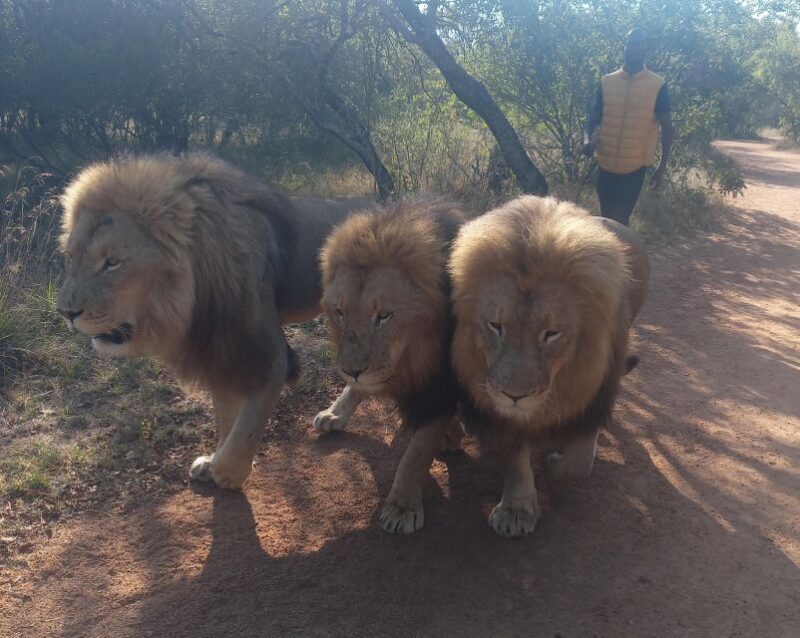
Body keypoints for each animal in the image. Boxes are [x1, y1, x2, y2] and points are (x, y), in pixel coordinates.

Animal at [56, 152, 368, 489]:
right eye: (70, 256)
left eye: (112, 263)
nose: (65, 312)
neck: (194, 292)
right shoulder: (219, 347)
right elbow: (226, 418)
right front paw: (212, 462)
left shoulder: (270, 358)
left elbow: (244, 430)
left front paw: (228, 472)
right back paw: (336, 416)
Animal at [316, 198, 466, 534]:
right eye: (340, 312)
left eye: (383, 316)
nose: (352, 370)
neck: (413, 354)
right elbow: (358, 389)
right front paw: (336, 411)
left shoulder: (439, 385)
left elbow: (417, 451)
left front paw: (401, 506)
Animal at [449, 195, 649, 537]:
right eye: (495, 326)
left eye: (551, 333)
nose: (514, 396)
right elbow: (515, 456)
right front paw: (516, 511)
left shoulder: (595, 391)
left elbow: (578, 465)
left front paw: (556, 461)